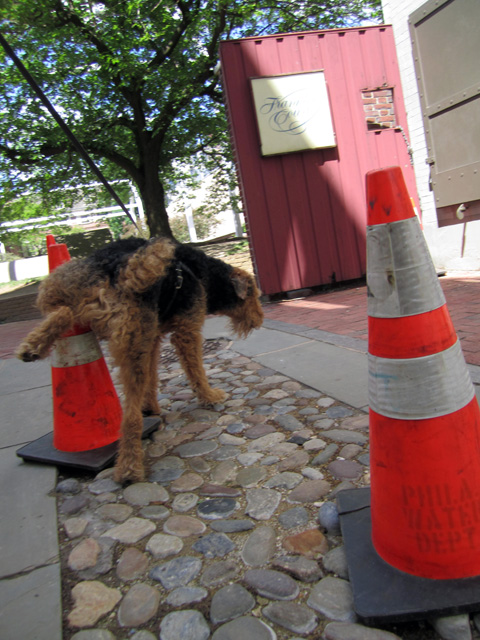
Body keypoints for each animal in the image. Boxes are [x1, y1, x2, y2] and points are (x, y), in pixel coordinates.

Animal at [17, 237, 264, 482]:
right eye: (253, 295)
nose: (260, 320)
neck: (203, 274)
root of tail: (119, 271)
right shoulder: (187, 331)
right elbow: (196, 370)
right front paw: (210, 396)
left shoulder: (153, 337)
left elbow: (153, 378)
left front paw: (151, 406)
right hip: (133, 343)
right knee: (130, 418)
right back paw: (129, 468)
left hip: (67, 290)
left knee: (63, 313)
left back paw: (32, 347)